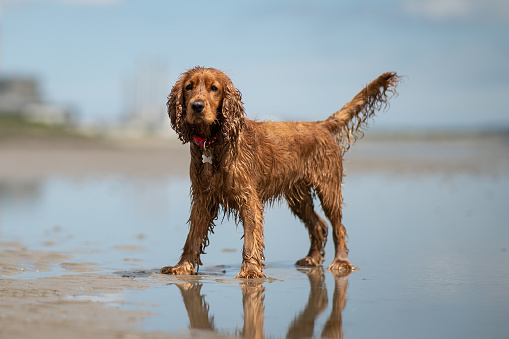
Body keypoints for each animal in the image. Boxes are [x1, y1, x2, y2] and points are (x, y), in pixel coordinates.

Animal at [161, 67, 398, 278]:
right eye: (189, 87)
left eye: (214, 88)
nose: (197, 106)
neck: (213, 143)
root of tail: (321, 126)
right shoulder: (203, 197)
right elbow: (192, 237)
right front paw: (182, 267)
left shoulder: (248, 198)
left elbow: (250, 239)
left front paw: (250, 271)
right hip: (298, 196)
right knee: (318, 225)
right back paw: (312, 258)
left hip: (328, 187)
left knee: (337, 226)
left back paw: (341, 262)